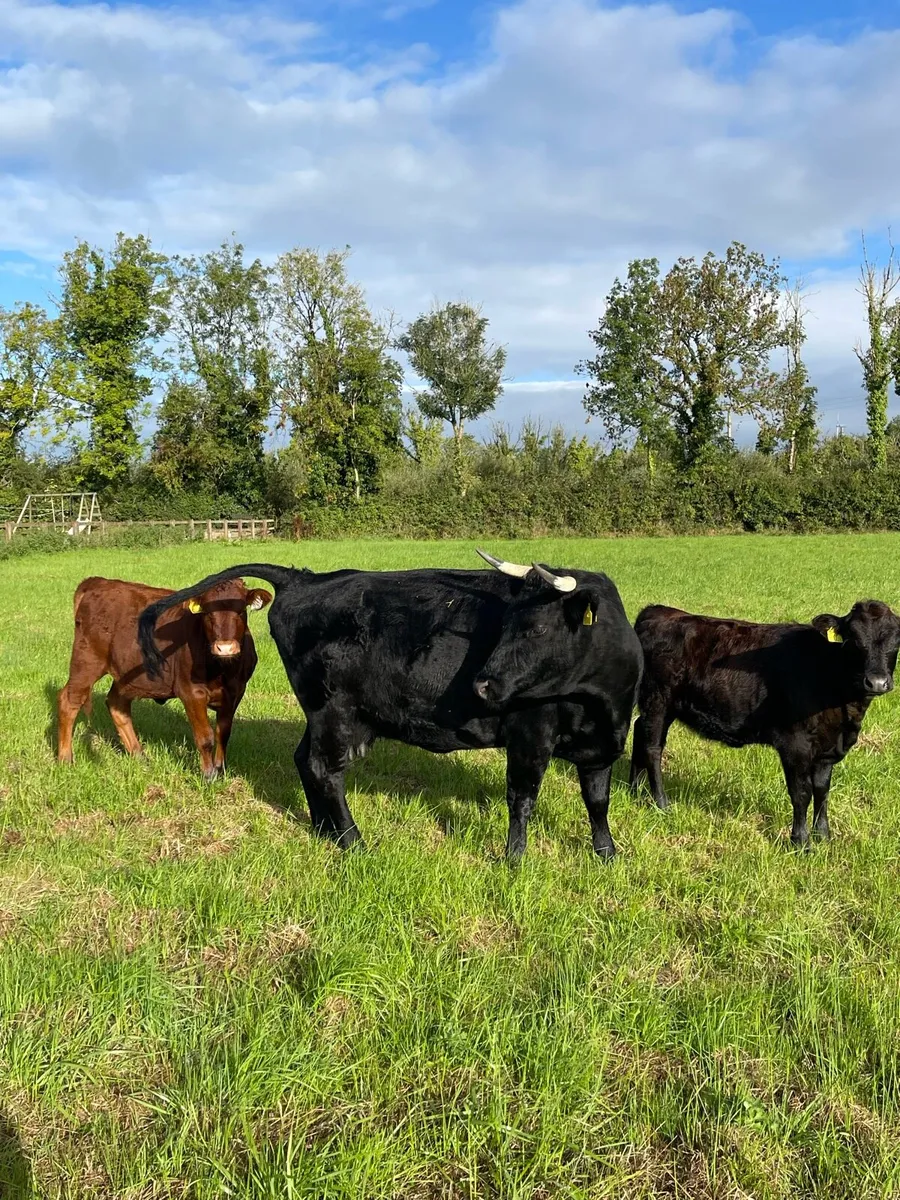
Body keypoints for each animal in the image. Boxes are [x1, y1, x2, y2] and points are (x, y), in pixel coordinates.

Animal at [58, 576, 272, 779]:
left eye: (241, 611)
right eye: (207, 613)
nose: (225, 647)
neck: (222, 670)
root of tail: (98, 582)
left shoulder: (235, 692)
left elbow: (223, 733)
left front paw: (220, 769)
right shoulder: (191, 692)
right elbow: (205, 737)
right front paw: (208, 775)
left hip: (127, 674)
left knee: (117, 704)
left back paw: (139, 755)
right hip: (87, 662)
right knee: (69, 701)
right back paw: (65, 757)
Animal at [138, 551, 643, 860]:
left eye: (538, 628)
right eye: (508, 624)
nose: (481, 685)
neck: (599, 703)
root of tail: (305, 579)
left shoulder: (605, 743)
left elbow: (597, 800)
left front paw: (607, 853)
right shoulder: (529, 737)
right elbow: (523, 799)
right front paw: (514, 860)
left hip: (324, 714)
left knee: (304, 761)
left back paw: (324, 830)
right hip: (335, 712)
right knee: (323, 769)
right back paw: (353, 842)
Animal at [628, 600, 900, 846]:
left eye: (897, 641)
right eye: (852, 638)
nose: (876, 682)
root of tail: (657, 611)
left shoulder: (827, 747)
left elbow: (822, 790)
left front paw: (824, 836)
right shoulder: (795, 745)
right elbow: (802, 793)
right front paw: (801, 842)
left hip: (664, 706)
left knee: (639, 732)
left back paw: (634, 790)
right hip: (657, 701)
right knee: (653, 748)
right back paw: (661, 803)